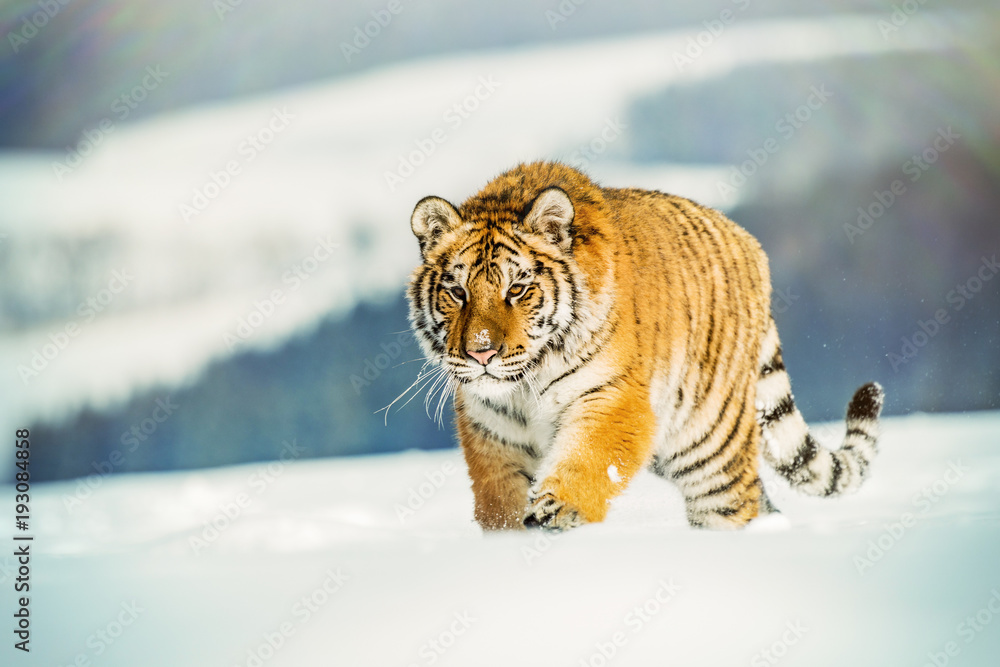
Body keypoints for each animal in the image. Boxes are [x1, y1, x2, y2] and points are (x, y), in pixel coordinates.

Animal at [405, 161, 883, 531]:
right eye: (458, 292)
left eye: (518, 290)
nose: (481, 353)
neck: (526, 384)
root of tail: (752, 245)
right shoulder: (492, 429)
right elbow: (499, 499)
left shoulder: (610, 396)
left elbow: (588, 458)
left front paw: (558, 510)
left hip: (711, 447)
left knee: (738, 501)